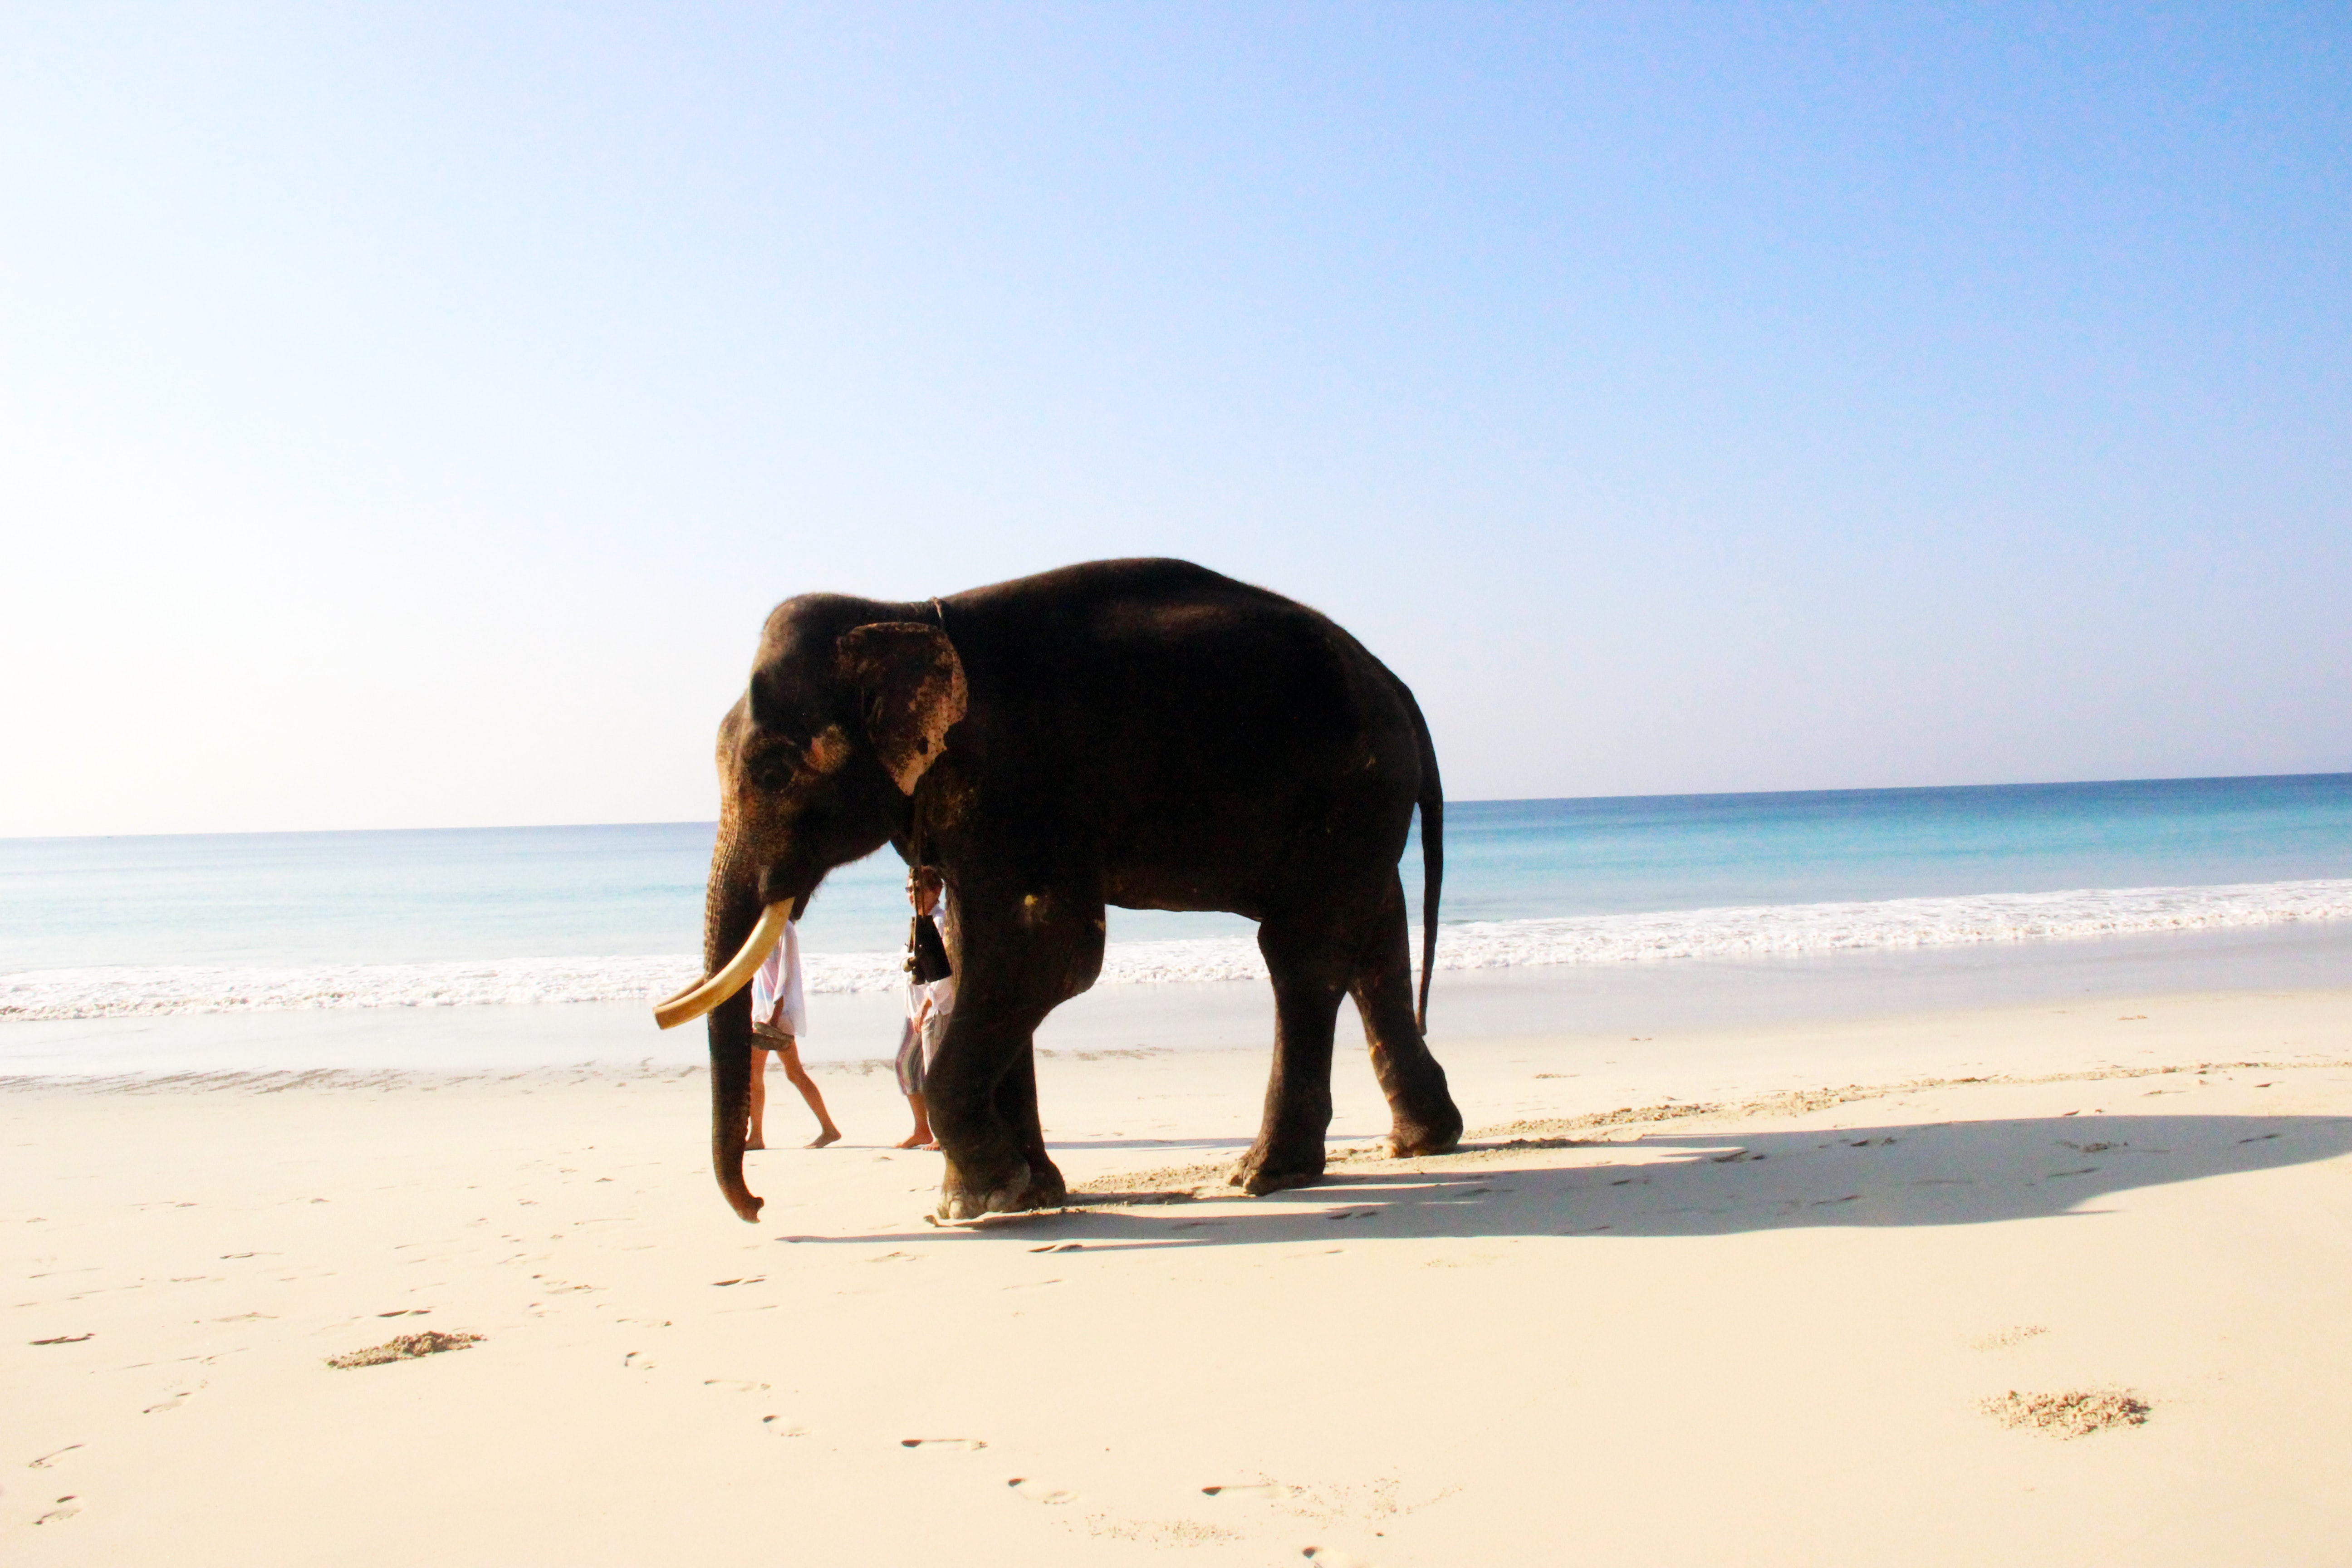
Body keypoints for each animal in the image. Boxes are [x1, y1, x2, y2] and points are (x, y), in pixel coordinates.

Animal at [663, 557, 1458, 1222]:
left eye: (771, 772)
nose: (760, 1205)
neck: (906, 613)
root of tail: (1397, 684)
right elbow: (976, 956)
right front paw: (1021, 1194)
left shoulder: (1017, 787)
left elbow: (1047, 954)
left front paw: (981, 1201)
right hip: (1364, 804)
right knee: (1372, 939)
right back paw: (1417, 1142)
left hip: (1349, 787)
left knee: (1301, 952)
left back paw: (1264, 1175)